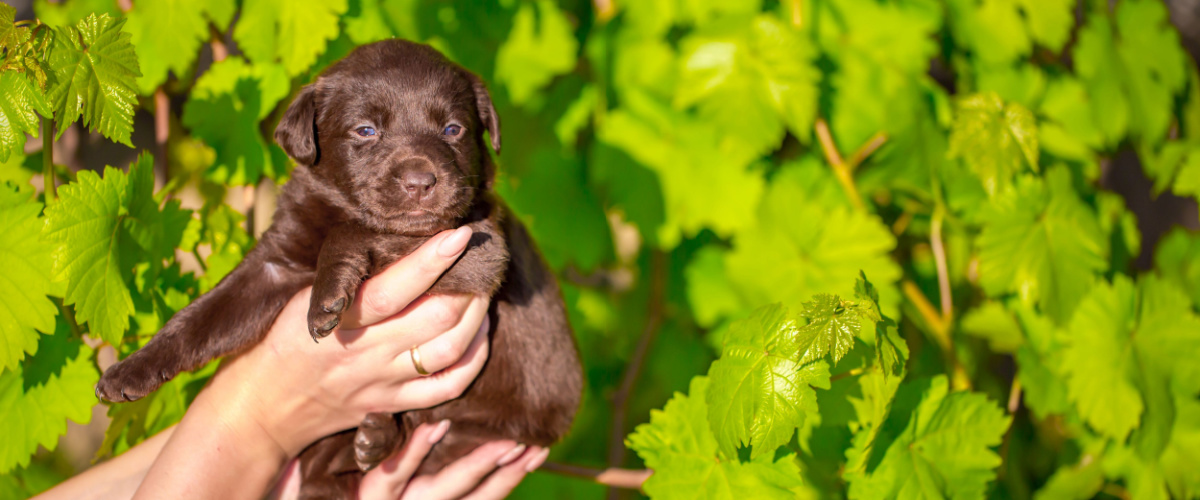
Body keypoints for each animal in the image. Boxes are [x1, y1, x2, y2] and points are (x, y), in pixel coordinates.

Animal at [93, 39, 580, 498]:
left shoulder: (479, 246)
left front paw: (326, 294)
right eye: (366, 130)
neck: (336, 206)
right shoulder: (273, 264)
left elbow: (356, 230)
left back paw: (376, 437)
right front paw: (129, 371)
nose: (421, 182)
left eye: (453, 129)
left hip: (483, 430)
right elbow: (202, 317)